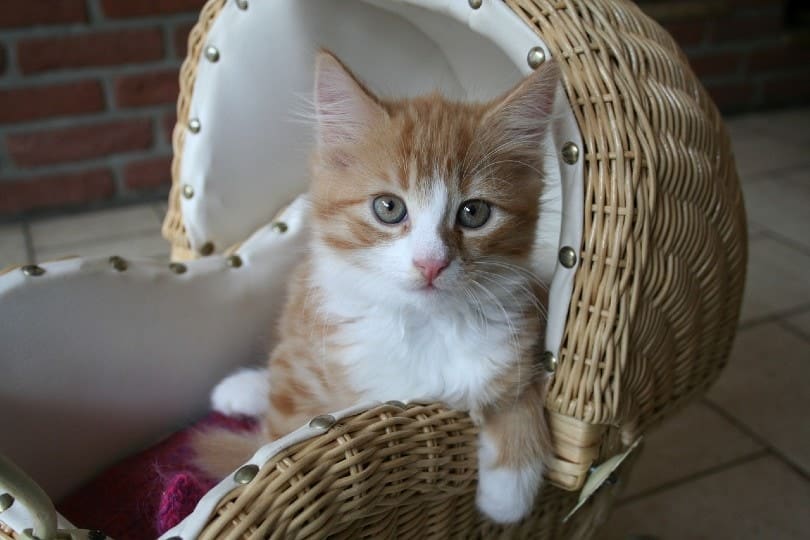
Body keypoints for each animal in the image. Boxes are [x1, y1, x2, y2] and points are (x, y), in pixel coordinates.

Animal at [196, 50, 560, 524]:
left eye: (474, 212)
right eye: (388, 207)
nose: (430, 263)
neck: (423, 327)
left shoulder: (525, 326)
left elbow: (519, 390)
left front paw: (508, 490)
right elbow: (278, 436)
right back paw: (240, 388)